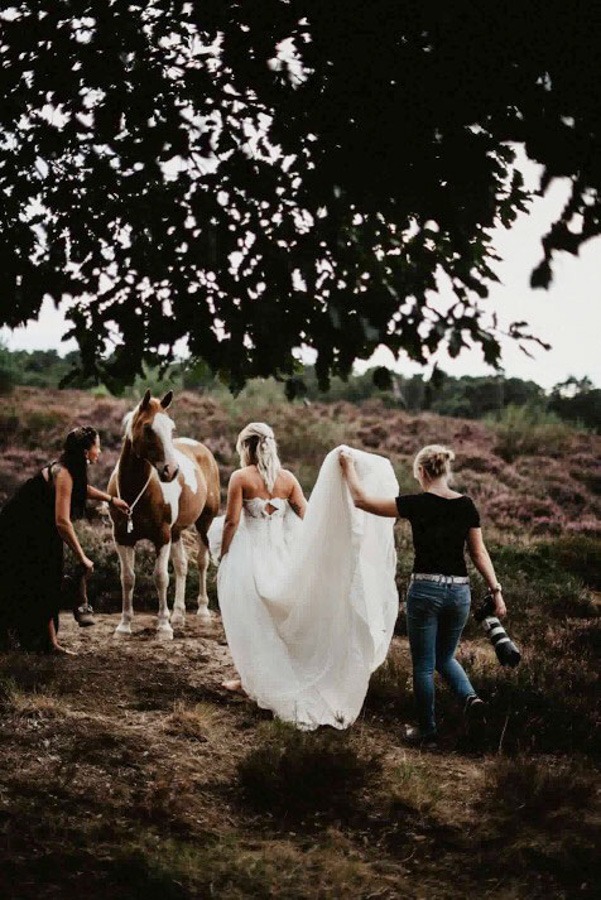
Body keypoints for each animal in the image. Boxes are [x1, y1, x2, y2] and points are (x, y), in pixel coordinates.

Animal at [108, 390, 220, 636]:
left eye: (171, 428)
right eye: (148, 428)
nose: (171, 470)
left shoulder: (162, 536)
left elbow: (160, 577)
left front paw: (163, 627)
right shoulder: (122, 537)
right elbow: (127, 578)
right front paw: (124, 625)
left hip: (203, 523)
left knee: (201, 562)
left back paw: (202, 612)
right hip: (176, 532)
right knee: (181, 566)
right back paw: (178, 615)